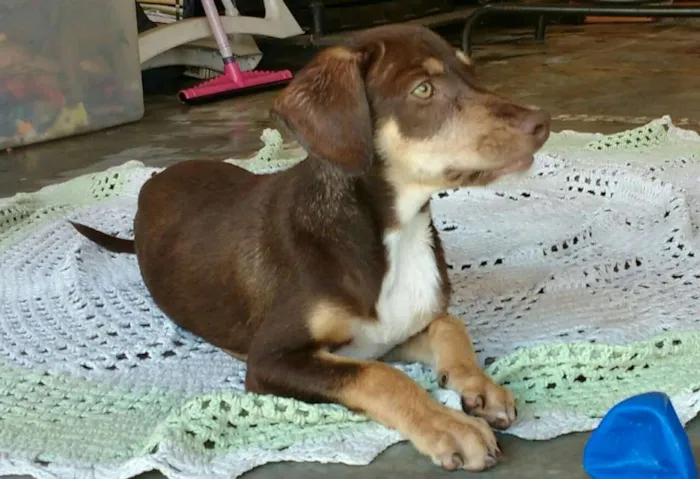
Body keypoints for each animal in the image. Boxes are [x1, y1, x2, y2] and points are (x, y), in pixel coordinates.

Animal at [72, 24, 552, 470]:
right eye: (423, 90)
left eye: (472, 73)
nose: (541, 124)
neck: (391, 234)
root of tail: (154, 182)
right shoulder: (272, 359)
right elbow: (380, 377)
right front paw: (449, 426)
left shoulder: (390, 330)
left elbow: (449, 325)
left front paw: (480, 386)